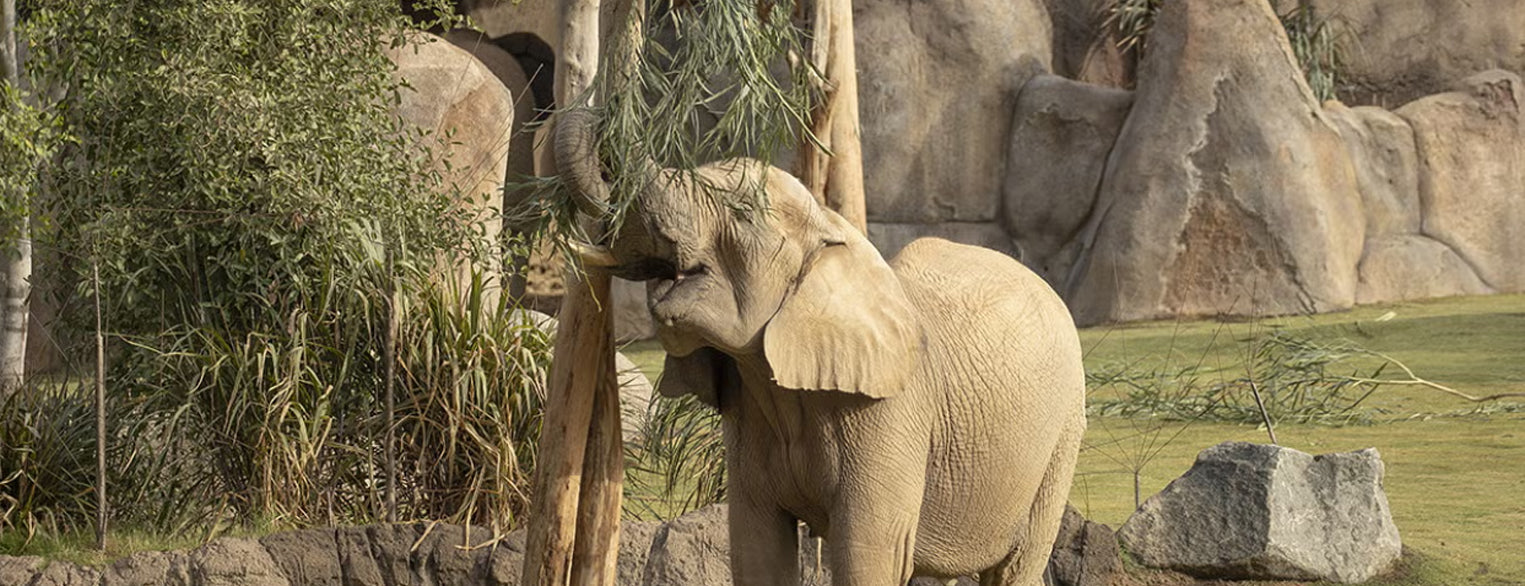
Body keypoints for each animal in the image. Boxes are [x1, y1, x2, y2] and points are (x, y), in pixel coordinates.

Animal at [557, 109, 1087, 586]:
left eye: (742, 212)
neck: (832, 230)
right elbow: (756, 547)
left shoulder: (890, 412)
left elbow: (869, 554)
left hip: (1063, 434)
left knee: (1016, 565)